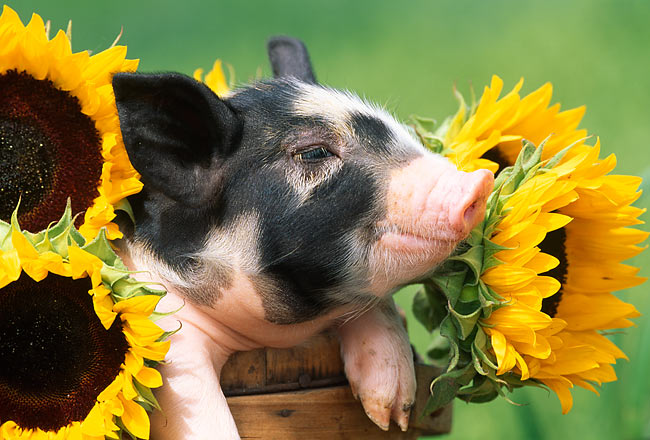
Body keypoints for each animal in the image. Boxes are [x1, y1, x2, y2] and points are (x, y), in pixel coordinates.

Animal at [112, 37, 494, 439]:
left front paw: (390, 416)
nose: (480, 181)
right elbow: (197, 404)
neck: (277, 334)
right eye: (314, 152)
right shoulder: (167, 331)